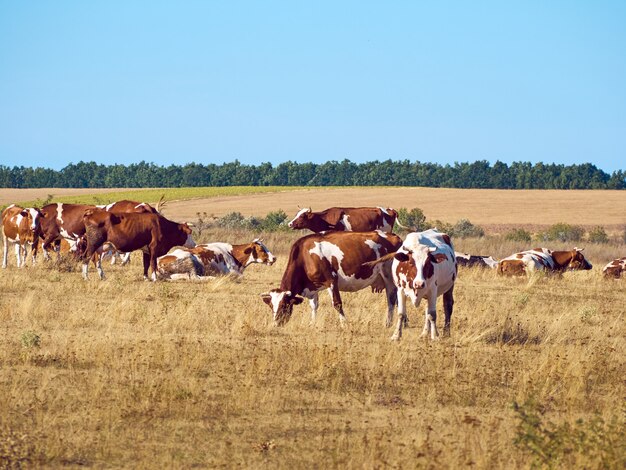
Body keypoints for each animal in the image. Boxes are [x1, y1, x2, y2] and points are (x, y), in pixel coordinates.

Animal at [258, 231, 400, 326]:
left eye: (284, 305)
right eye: (271, 306)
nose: (276, 324)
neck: (305, 256)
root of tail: (394, 236)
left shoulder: (331, 281)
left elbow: (337, 304)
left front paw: (344, 324)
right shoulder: (313, 286)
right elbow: (314, 306)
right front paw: (312, 323)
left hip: (389, 277)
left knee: (391, 300)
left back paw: (389, 323)